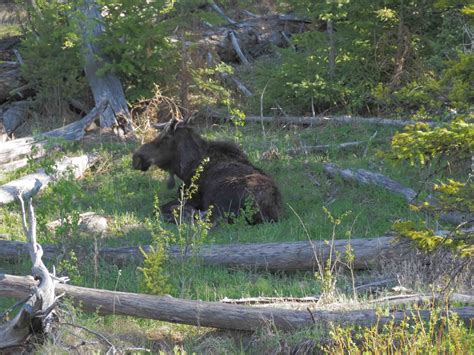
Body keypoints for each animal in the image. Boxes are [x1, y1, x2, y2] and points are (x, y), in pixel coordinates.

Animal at [131, 119, 282, 225]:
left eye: (164, 138)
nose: (136, 157)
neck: (186, 168)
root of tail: (268, 211)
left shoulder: (191, 197)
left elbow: (158, 208)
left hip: (218, 200)